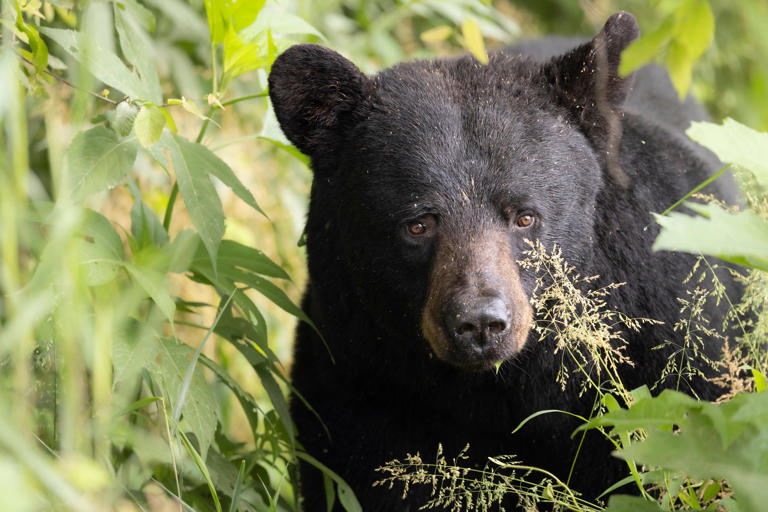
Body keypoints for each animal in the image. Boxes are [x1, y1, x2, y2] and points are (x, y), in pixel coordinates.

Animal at [268, 11, 739, 511]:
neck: (504, 390)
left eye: (524, 216)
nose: (479, 323)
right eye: (418, 224)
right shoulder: (354, 380)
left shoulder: (670, 356)